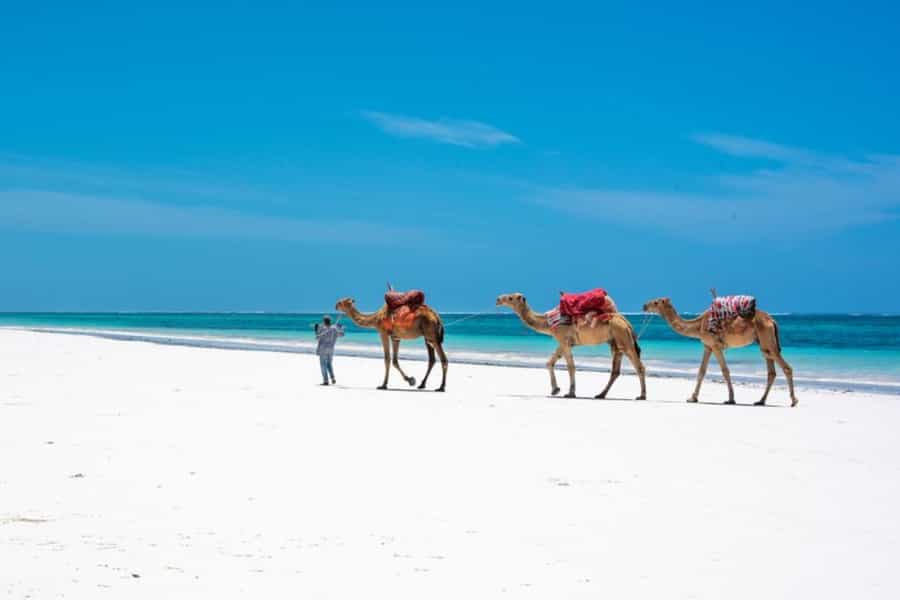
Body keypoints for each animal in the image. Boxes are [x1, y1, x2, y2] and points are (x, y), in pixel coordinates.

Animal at [496, 293, 646, 399]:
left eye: (510, 297)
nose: (498, 299)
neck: (547, 323)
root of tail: (625, 321)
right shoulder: (564, 342)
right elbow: (550, 362)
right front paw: (555, 390)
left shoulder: (563, 339)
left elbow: (570, 367)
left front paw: (570, 393)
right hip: (616, 343)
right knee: (615, 371)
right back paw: (600, 395)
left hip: (624, 338)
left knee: (639, 366)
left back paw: (642, 396)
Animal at [642, 297, 797, 406]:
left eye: (656, 302)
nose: (644, 306)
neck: (698, 325)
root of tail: (772, 320)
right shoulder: (707, 346)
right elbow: (701, 371)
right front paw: (692, 397)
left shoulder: (715, 345)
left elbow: (725, 371)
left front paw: (731, 399)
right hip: (763, 342)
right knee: (771, 371)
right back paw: (760, 401)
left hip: (767, 339)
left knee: (786, 367)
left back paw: (793, 401)